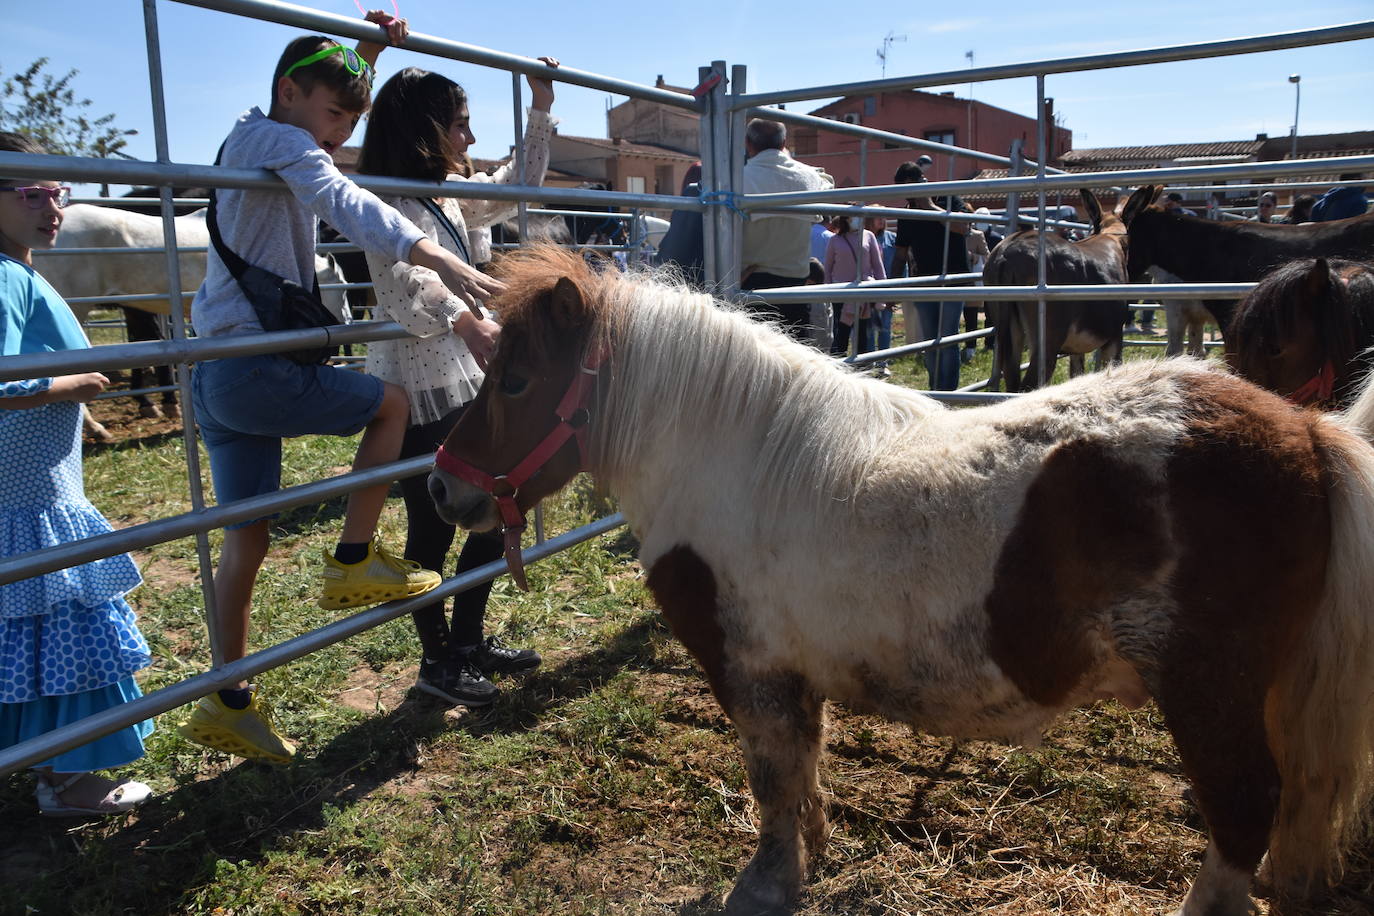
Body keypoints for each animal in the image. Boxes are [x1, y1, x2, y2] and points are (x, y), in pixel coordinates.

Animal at [989, 186, 1126, 390]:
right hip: (1047, 342)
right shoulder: (1115, 338)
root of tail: (1006, 253)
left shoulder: (1077, 349)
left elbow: (1077, 375)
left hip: (1008, 331)